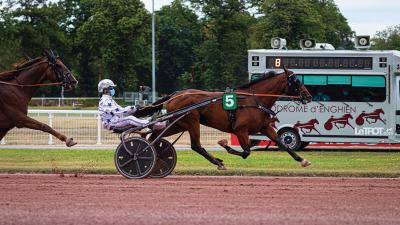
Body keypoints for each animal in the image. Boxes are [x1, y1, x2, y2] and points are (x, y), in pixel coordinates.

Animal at [152, 67, 314, 170]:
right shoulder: (240, 130)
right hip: (191, 122)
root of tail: (174, 95)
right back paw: (218, 162)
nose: (308, 96)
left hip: (179, 124)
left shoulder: (265, 127)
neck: (255, 100)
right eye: (297, 81)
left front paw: (303, 160)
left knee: (154, 135)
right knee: (196, 146)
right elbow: (246, 152)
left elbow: (282, 143)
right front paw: (224, 144)